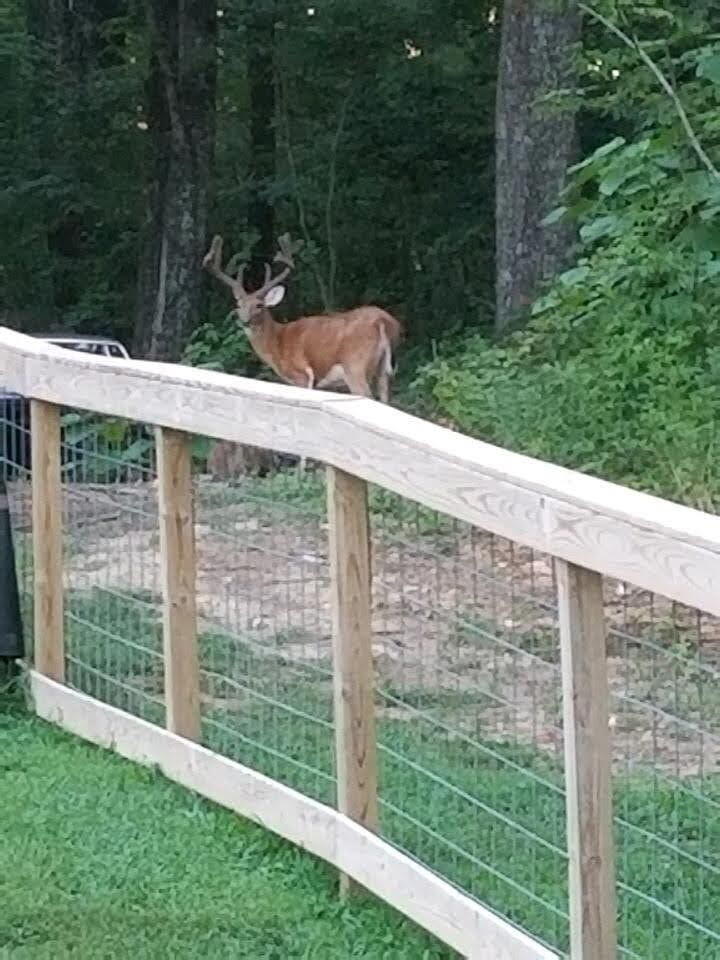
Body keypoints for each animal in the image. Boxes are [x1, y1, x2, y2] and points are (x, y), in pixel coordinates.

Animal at [202, 233, 402, 403]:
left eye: (259, 306)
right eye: (238, 306)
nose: (245, 321)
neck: (277, 342)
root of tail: (383, 321)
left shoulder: (301, 375)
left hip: (355, 364)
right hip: (383, 371)